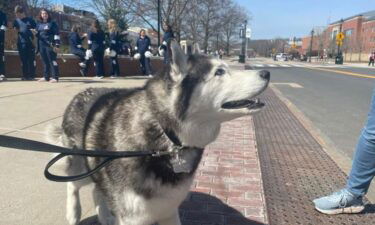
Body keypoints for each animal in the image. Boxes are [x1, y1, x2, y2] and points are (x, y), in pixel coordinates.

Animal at [50, 40, 272, 225]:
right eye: (219, 72)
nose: (267, 73)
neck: (165, 136)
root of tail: (81, 93)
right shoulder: (133, 217)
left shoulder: (168, 210)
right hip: (84, 167)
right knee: (73, 184)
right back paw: (73, 213)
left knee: (97, 191)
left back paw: (104, 217)